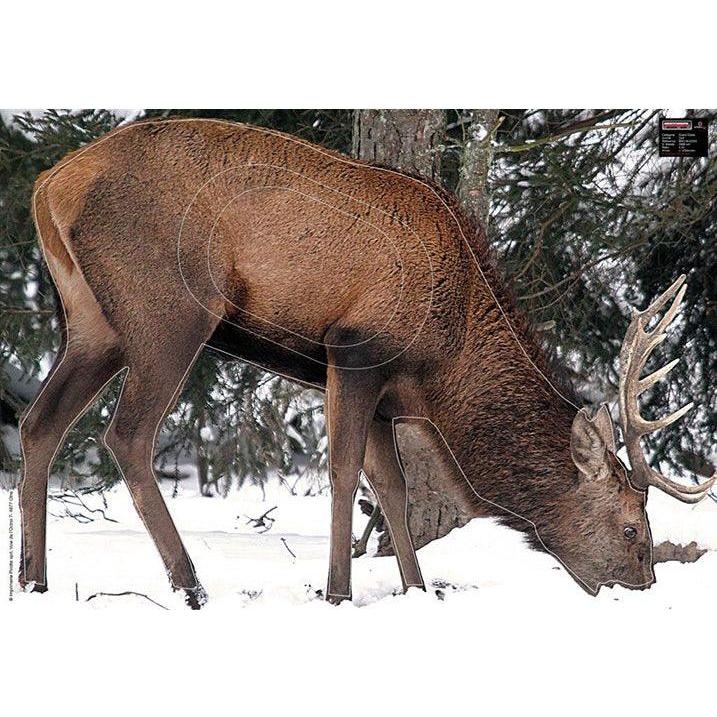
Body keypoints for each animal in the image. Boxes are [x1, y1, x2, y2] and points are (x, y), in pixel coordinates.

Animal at [18, 118, 715, 608]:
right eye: (632, 527)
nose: (643, 590)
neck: (445, 363)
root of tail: (49, 185)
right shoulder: (356, 350)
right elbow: (345, 473)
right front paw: (338, 592)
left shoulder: (388, 396)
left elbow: (393, 488)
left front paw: (417, 588)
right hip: (169, 311)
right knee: (125, 434)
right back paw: (190, 586)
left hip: (93, 325)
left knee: (38, 424)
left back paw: (32, 579)